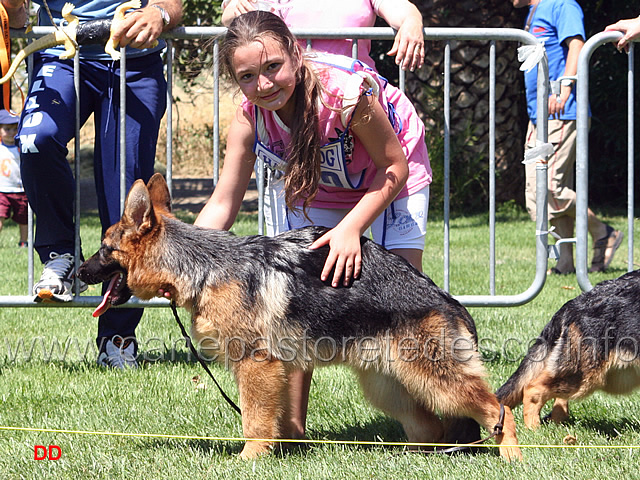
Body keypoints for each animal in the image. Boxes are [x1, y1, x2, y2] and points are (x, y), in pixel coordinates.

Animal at [77, 173, 524, 462]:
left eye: (104, 249)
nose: (77, 273)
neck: (202, 268)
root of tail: (448, 299)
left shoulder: (256, 367)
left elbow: (255, 420)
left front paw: (250, 459)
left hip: (436, 380)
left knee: (498, 411)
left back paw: (513, 457)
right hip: (389, 385)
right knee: (430, 427)